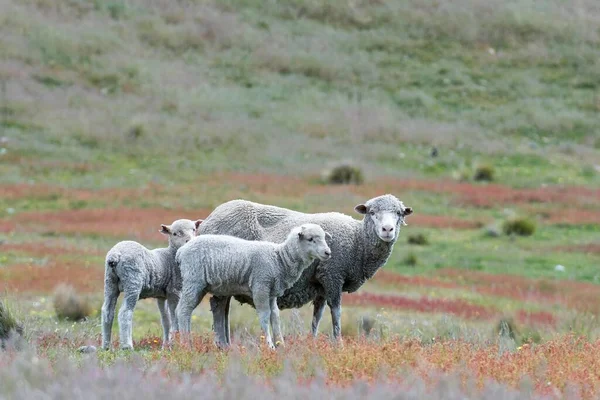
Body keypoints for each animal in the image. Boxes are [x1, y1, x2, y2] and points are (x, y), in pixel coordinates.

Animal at [99, 219, 202, 350]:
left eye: (194, 229)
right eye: (175, 233)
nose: (189, 241)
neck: (171, 256)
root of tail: (115, 254)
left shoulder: (161, 296)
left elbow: (166, 320)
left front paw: (166, 345)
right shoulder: (174, 291)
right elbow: (174, 317)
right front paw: (174, 343)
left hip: (110, 282)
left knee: (107, 311)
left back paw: (106, 346)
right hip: (133, 281)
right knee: (125, 312)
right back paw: (127, 346)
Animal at [173, 223, 332, 348]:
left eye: (324, 238)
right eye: (310, 239)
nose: (328, 253)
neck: (280, 258)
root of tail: (181, 251)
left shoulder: (271, 293)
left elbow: (275, 316)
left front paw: (281, 344)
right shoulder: (260, 286)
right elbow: (264, 315)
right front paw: (269, 345)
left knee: (184, 311)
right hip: (193, 281)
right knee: (183, 310)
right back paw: (186, 343)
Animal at [197, 194, 412, 346]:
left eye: (399, 213)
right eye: (372, 212)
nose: (387, 230)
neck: (357, 241)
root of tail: (206, 221)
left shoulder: (321, 285)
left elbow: (317, 317)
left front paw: (313, 342)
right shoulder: (333, 275)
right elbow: (336, 314)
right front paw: (339, 345)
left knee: (222, 307)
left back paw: (226, 344)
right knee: (218, 307)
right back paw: (222, 345)